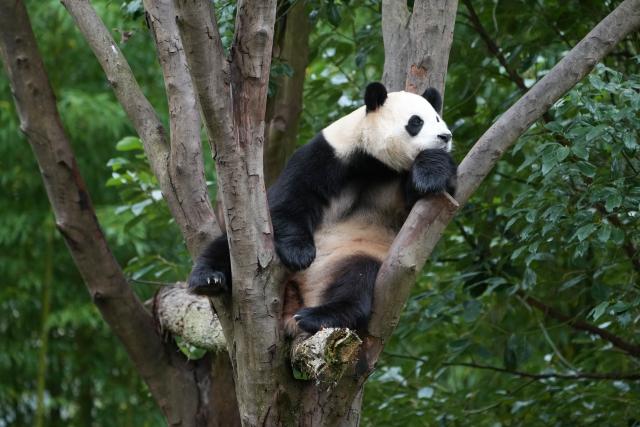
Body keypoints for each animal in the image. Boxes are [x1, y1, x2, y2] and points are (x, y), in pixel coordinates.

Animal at [188, 82, 456, 337]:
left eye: (437, 118)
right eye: (416, 121)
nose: (445, 136)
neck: (377, 164)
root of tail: (300, 299)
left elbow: (425, 207)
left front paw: (430, 171)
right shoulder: (328, 153)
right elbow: (291, 197)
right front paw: (299, 252)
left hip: (356, 252)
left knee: (357, 279)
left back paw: (317, 316)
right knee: (225, 247)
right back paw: (208, 279)